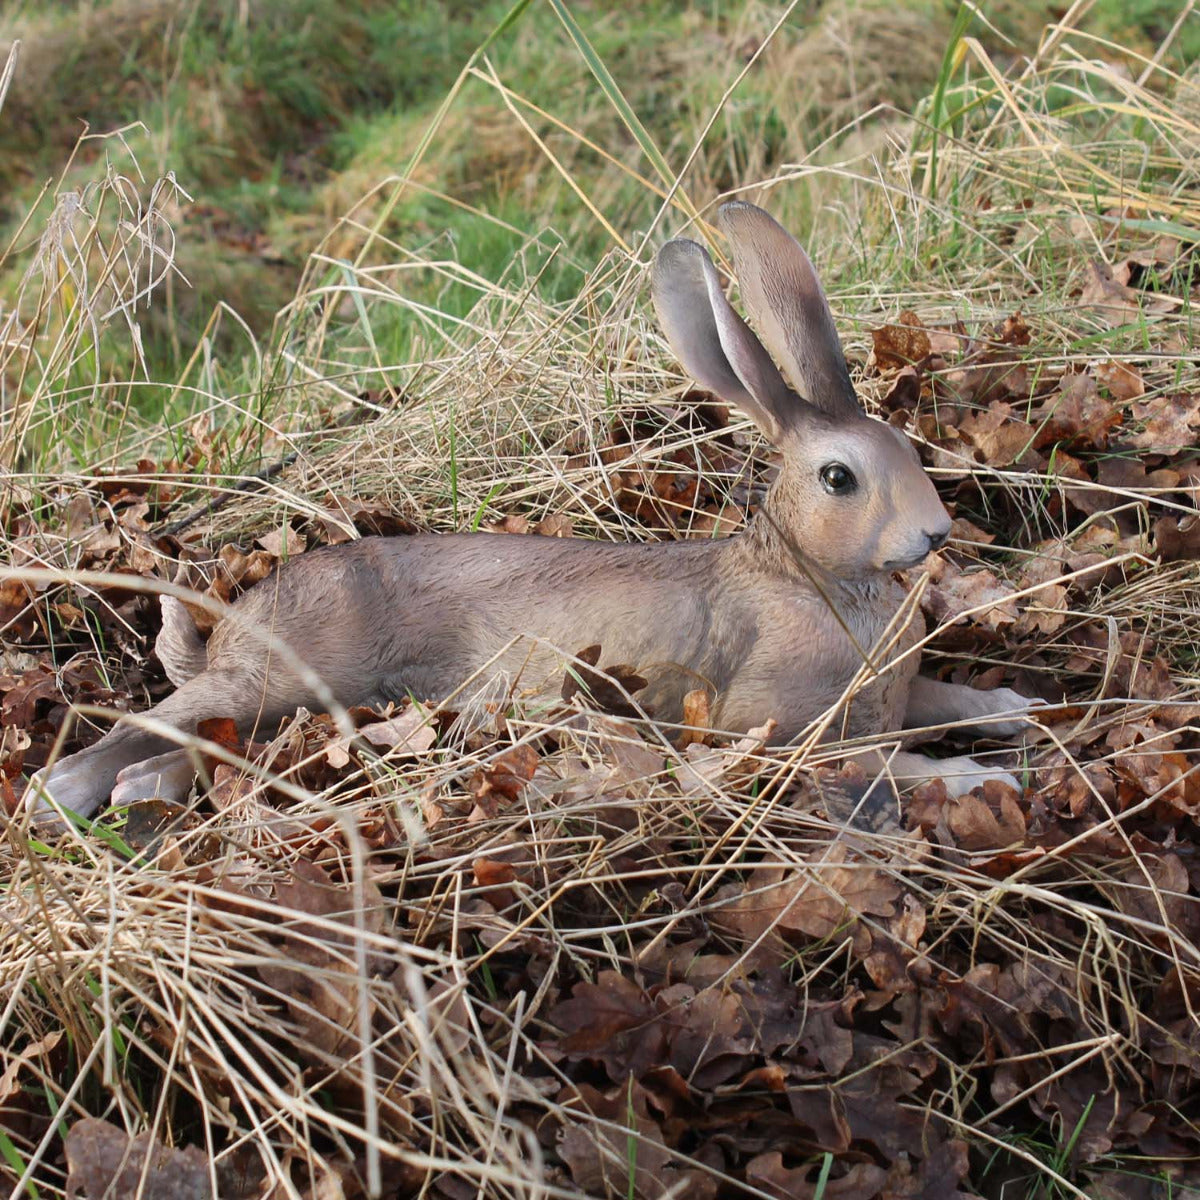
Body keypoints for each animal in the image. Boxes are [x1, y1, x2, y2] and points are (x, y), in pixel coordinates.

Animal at [24, 201, 1042, 825]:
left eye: (908, 448)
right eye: (840, 479)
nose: (935, 535)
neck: (812, 574)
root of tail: (233, 622)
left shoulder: (893, 696)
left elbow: (950, 700)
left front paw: (1016, 709)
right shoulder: (778, 726)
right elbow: (883, 764)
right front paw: (974, 773)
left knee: (182, 752)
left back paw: (133, 796)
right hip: (281, 672)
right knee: (144, 729)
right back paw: (61, 797)